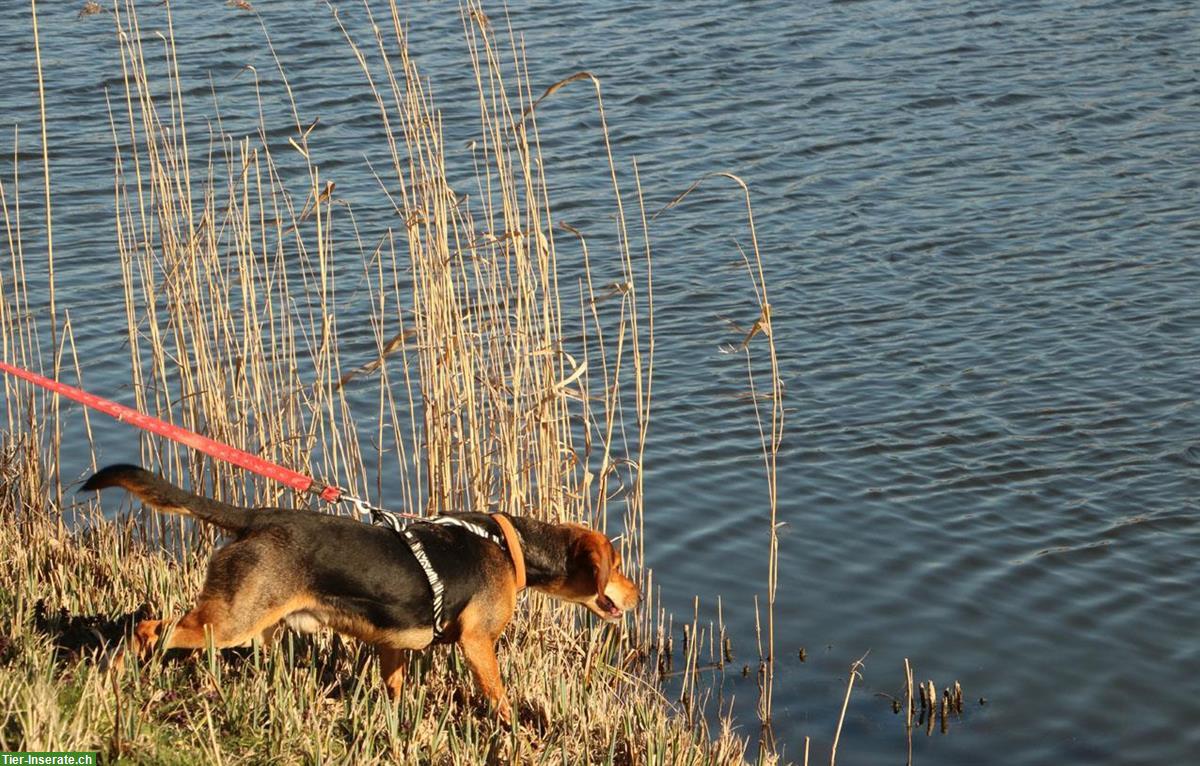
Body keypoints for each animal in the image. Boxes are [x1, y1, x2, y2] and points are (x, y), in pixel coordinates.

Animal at [81, 465, 638, 725]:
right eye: (616, 565)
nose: (635, 596)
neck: (511, 546)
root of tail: (256, 517)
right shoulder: (478, 643)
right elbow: (499, 696)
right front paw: (513, 730)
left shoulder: (394, 643)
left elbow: (393, 688)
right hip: (229, 623)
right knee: (148, 628)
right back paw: (112, 678)